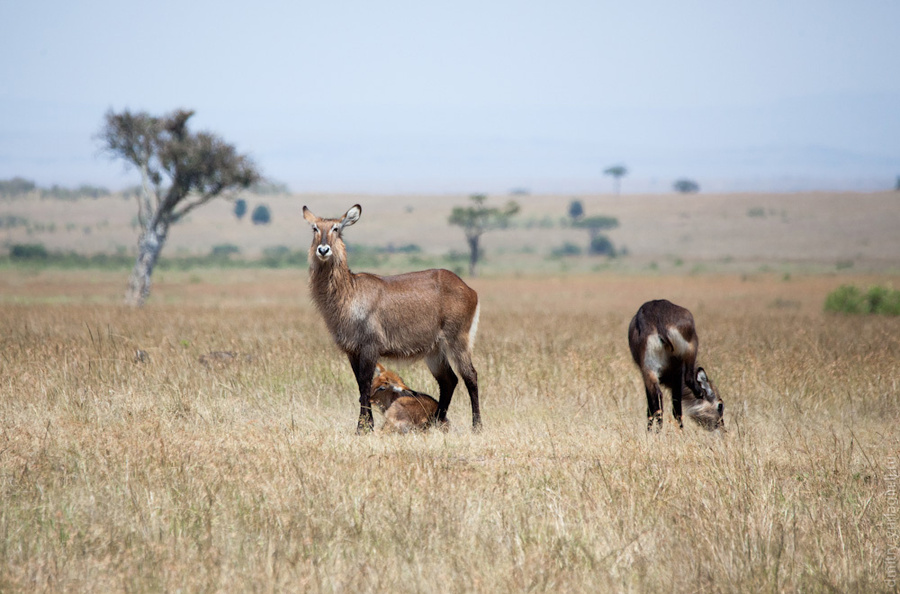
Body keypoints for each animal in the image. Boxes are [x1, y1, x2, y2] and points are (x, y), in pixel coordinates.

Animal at [304, 204, 486, 430]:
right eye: (314, 228)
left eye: (336, 228)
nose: (323, 249)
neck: (349, 293)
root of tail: (469, 288)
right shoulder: (352, 350)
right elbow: (360, 386)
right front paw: (366, 425)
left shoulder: (370, 347)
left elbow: (365, 386)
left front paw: (363, 428)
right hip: (435, 350)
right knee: (448, 381)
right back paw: (436, 421)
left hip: (458, 341)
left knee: (470, 376)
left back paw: (476, 426)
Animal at [628, 300, 728, 430]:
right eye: (720, 406)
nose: (723, 429)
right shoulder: (677, 372)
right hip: (690, 350)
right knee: (688, 381)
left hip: (649, 370)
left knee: (657, 399)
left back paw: (657, 431)